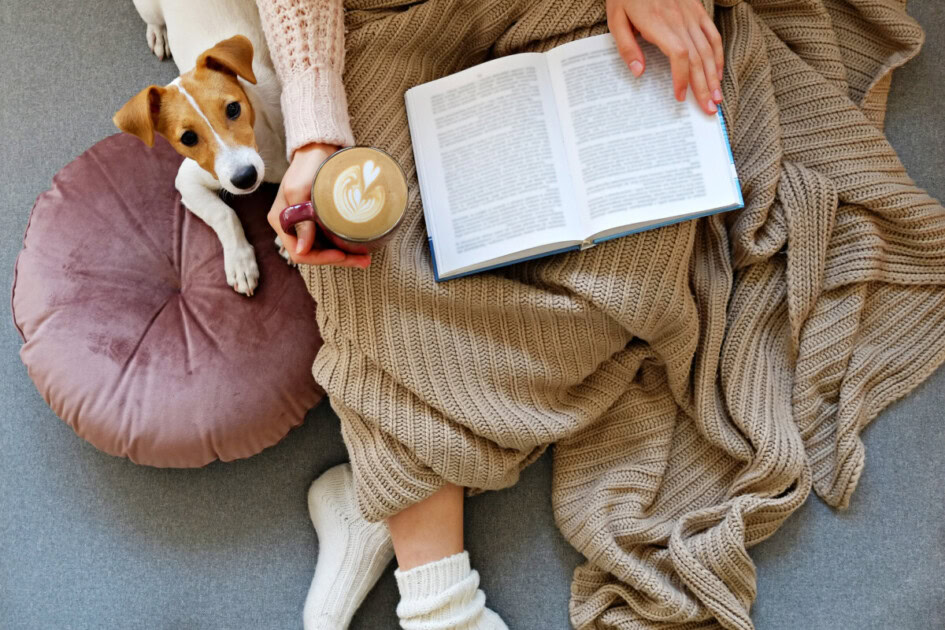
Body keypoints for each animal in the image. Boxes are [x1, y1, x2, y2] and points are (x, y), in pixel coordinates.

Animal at [113, 0, 288, 298]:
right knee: (153, 20)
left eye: (233, 108)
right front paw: (240, 261)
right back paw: (158, 34)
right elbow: (224, 213)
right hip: (148, 8)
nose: (245, 178)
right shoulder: (189, 180)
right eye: (188, 138)